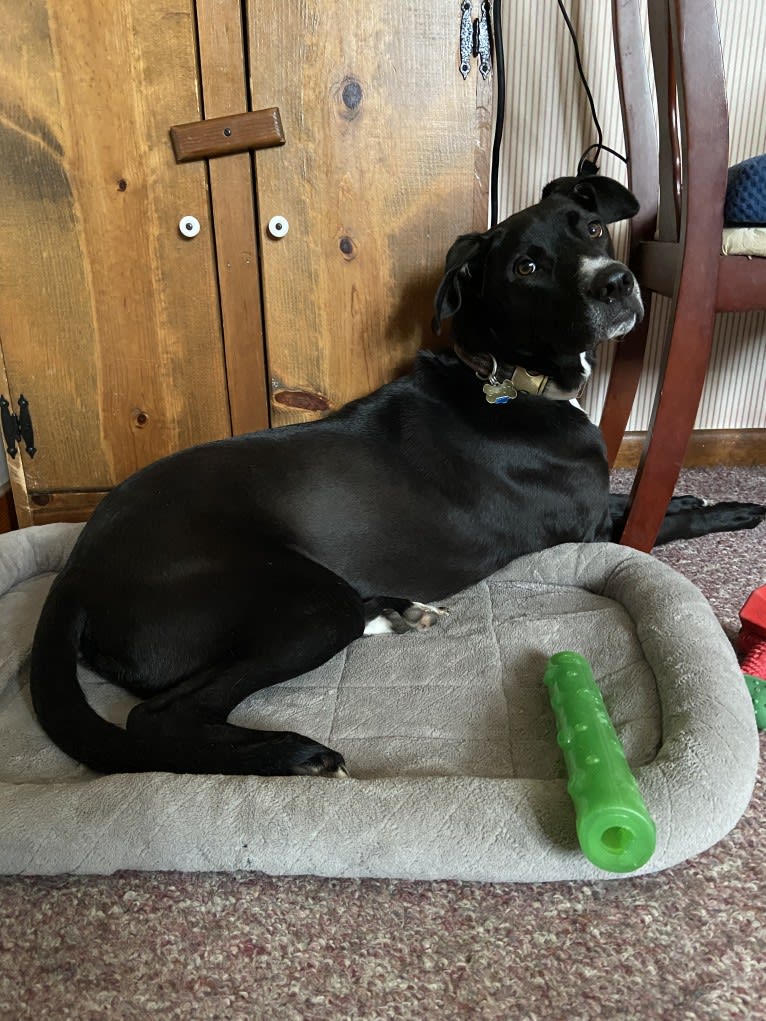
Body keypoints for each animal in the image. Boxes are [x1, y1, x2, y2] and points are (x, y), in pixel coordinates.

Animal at [28, 179, 763, 775]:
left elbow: (638, 492)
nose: (615, 281)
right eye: (526, 266)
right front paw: (735, 509)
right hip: (301, 603)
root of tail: (78, 570)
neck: (504, 378)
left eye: (589, 228)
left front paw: (695, 490)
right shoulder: (588, 525)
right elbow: (657, 514)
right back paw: (293, 752)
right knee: (159, 717)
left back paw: (394, 611)